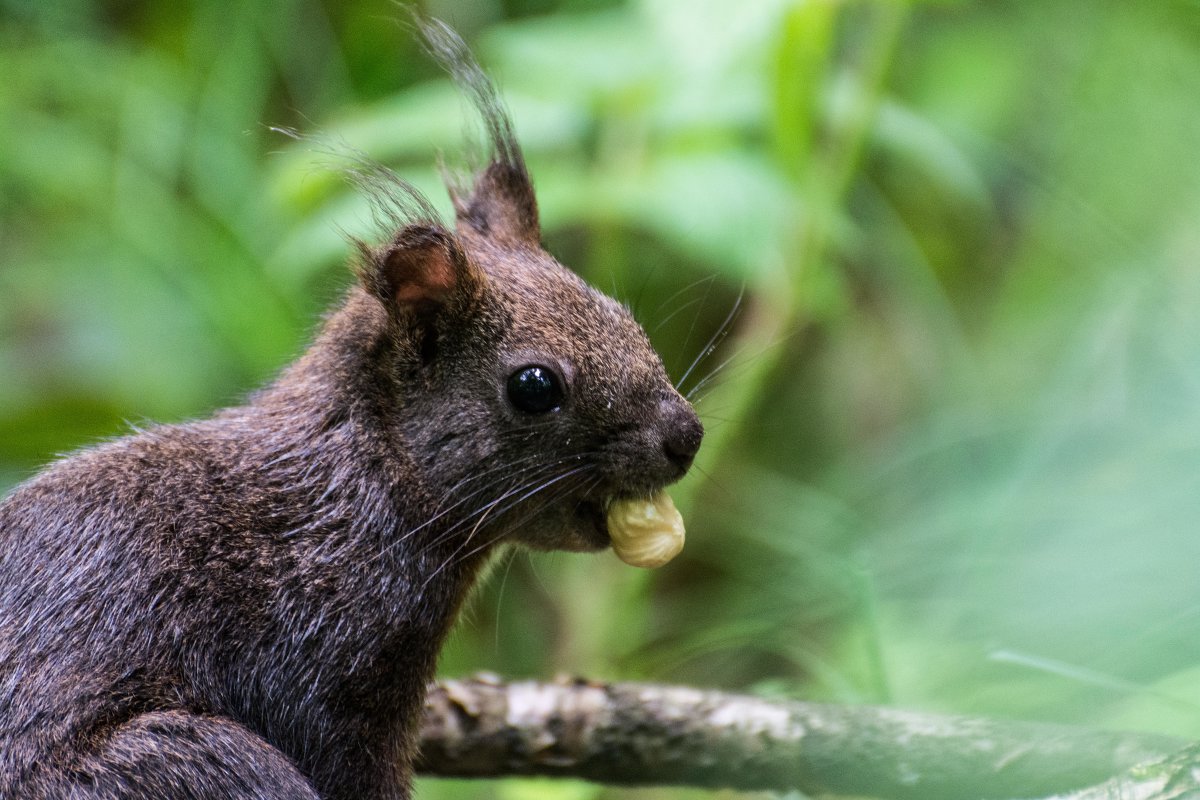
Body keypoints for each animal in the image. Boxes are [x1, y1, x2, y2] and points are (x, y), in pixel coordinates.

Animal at [0, 17, 700, 800]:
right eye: (535, 386)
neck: (361, 487)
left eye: (621, 312)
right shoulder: (319, 674)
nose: (687, 436)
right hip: (198, 762)